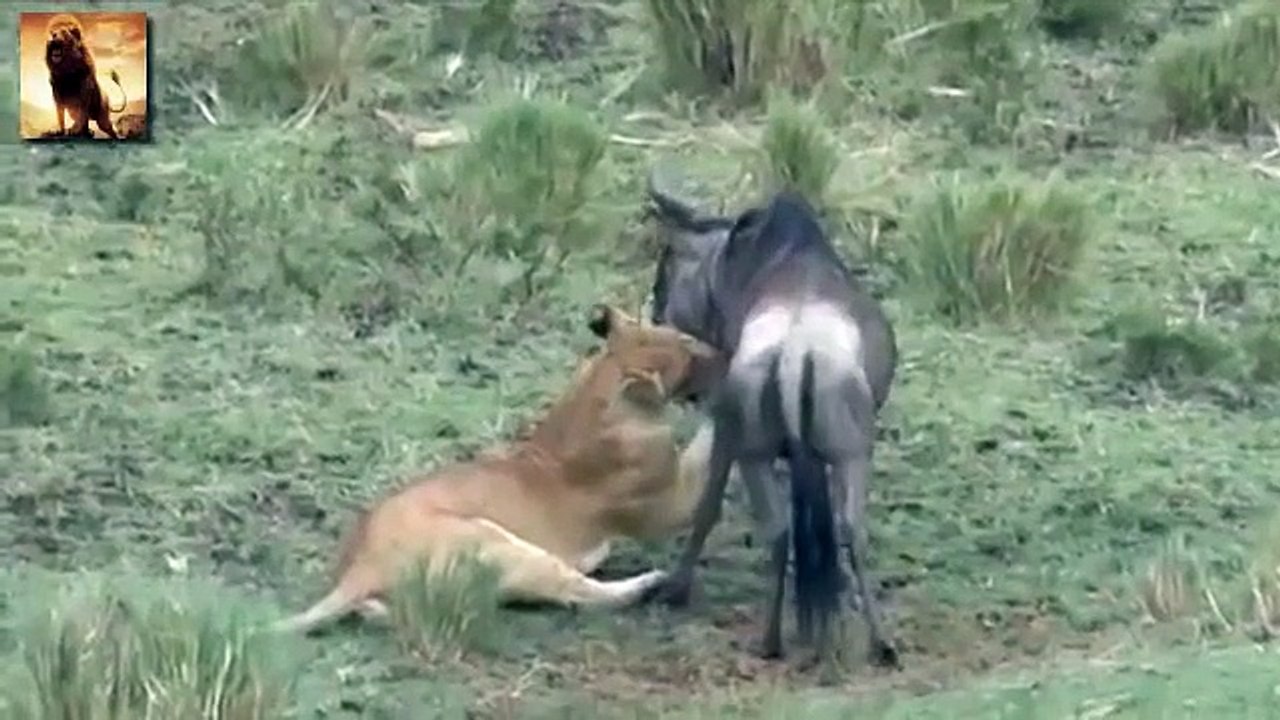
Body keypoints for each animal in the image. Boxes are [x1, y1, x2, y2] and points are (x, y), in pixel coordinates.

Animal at [274, 304, 724, 634]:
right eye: (687, 348)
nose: (719, 353)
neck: (601, 387)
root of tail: (362, 567)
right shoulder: (670, 502)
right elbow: (703, 450)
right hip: (496, 542)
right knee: (576, 592)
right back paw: (646, 584)